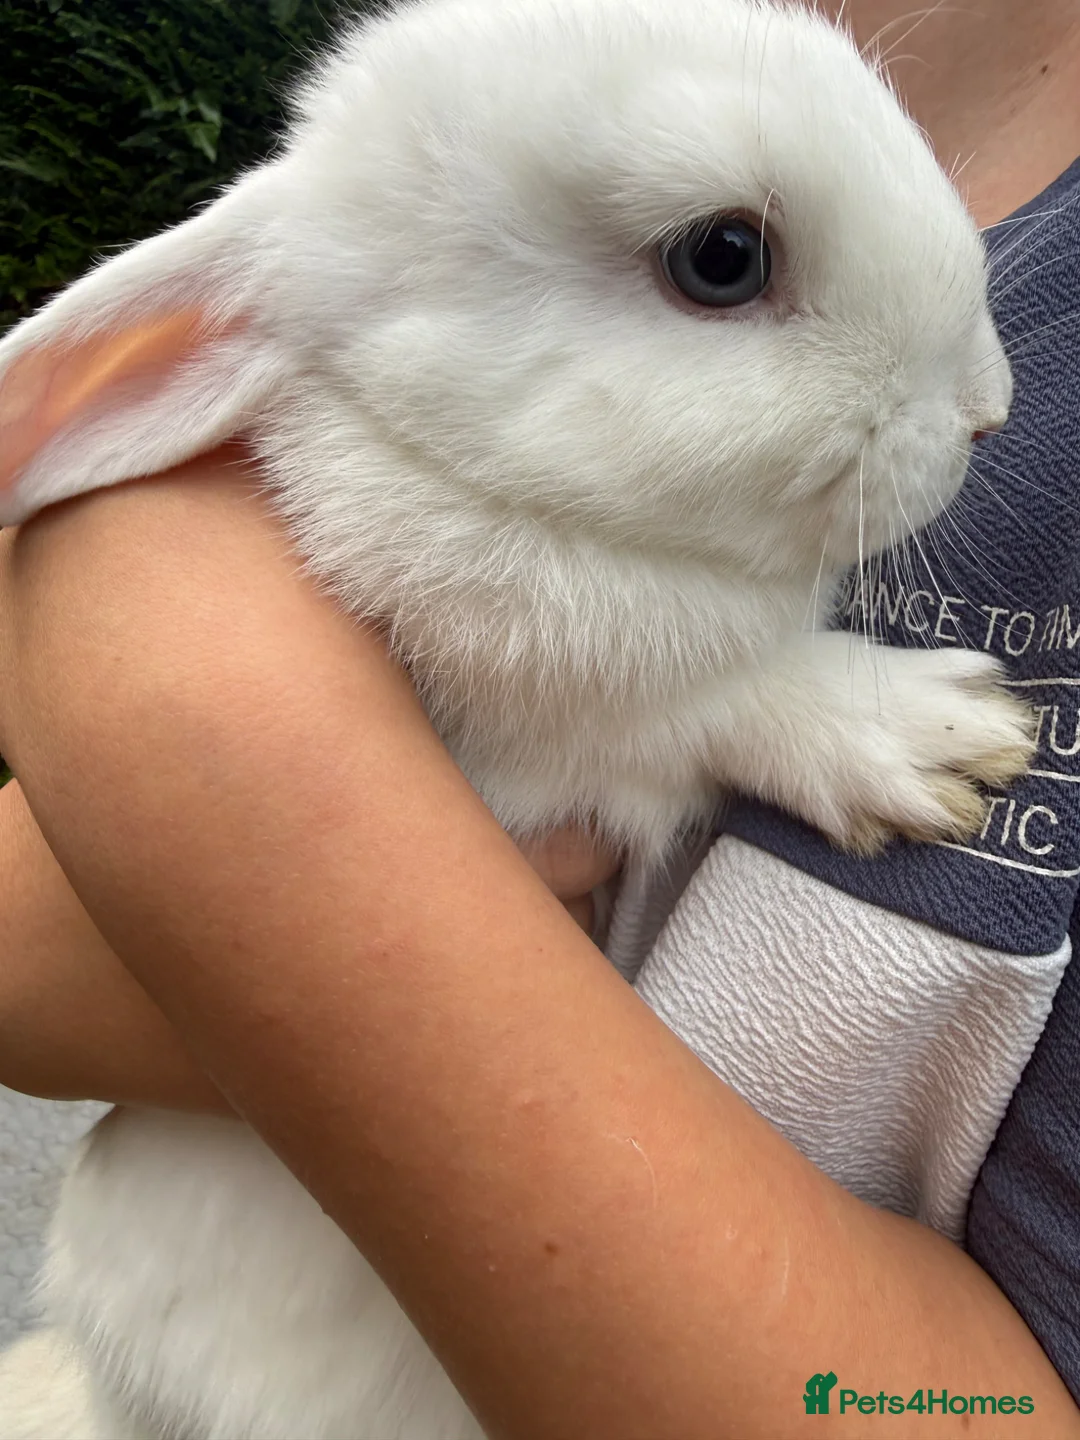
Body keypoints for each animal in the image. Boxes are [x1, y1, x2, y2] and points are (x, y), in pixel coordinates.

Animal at [0, 0, 1035, 1436]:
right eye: (723, 257)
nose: (988, 409)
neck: (485, 490)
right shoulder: (560, 743)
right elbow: (717, 698)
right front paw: (942, 738)